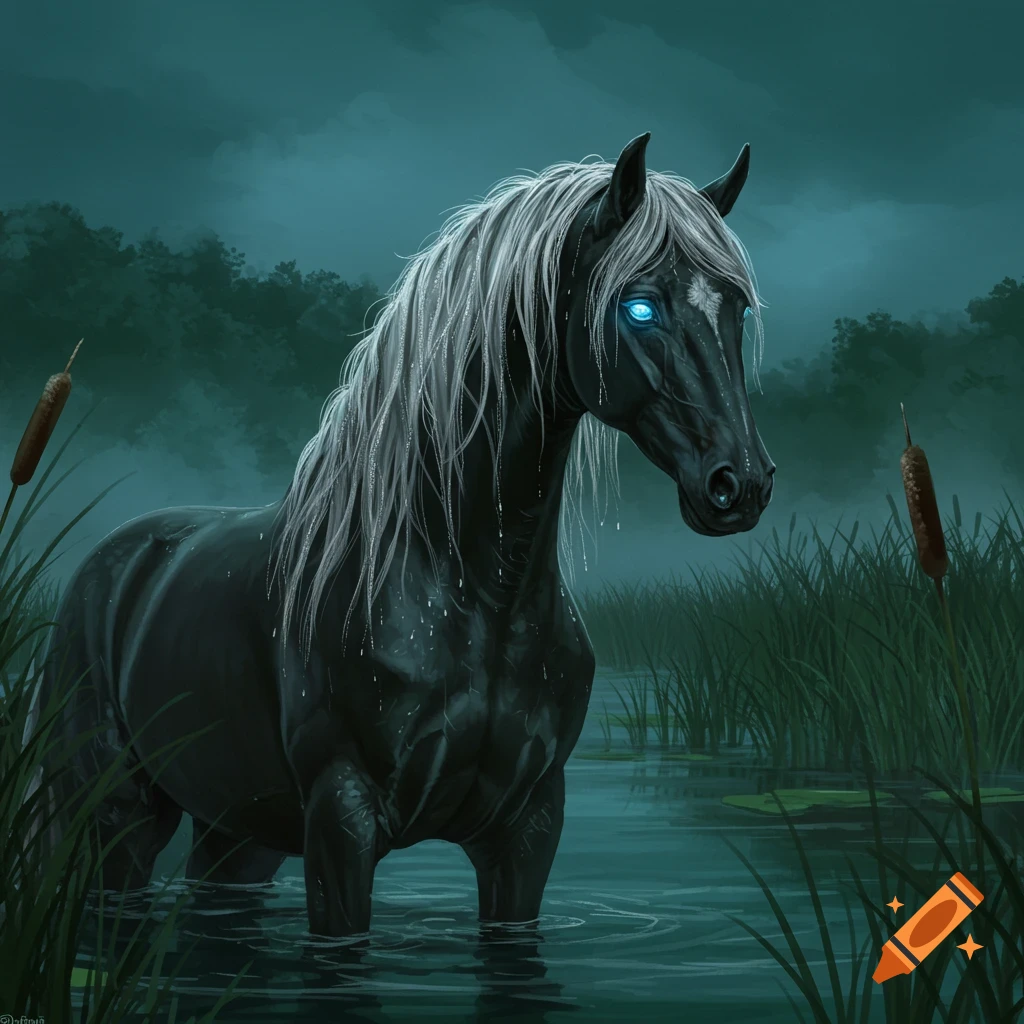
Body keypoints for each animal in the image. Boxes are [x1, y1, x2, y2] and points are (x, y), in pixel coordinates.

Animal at [38, 132, 774, 937]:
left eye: (736, 307)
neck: (473, 590)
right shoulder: (342, 821)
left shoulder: (527, 829)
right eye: (639, 306)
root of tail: (115, 558)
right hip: (115, 813)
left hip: (237, 831)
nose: (741, 485)